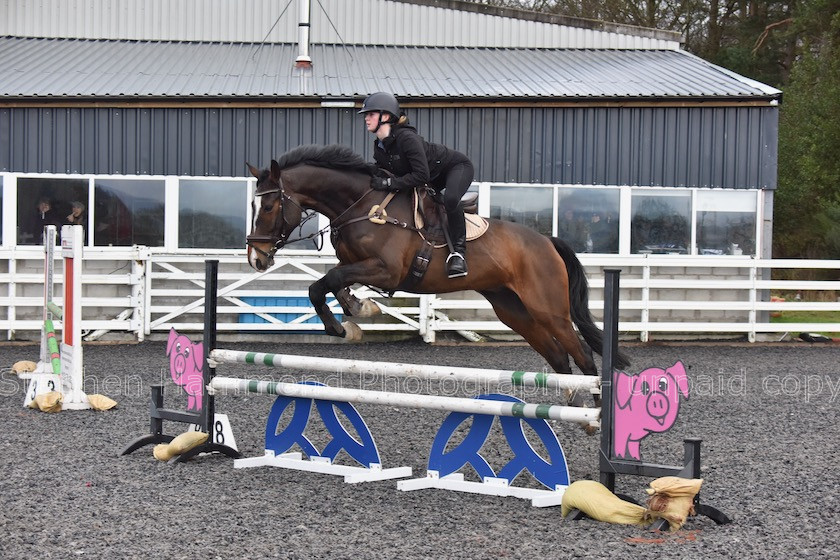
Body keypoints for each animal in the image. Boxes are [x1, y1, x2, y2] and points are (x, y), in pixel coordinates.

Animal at [246, 145, 628, 402]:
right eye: (253, 204)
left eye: (269, 206)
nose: (256, 258)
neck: (361, 206)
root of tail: (547, 241)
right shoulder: (357, 266)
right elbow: (329, 283)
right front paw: (355, 313)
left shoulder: (387, 272)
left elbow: (325, 283)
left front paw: (345, 323)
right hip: (515, 311)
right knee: (560, 358)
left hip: (549, 309)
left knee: (582, 356)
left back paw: (592, 417)